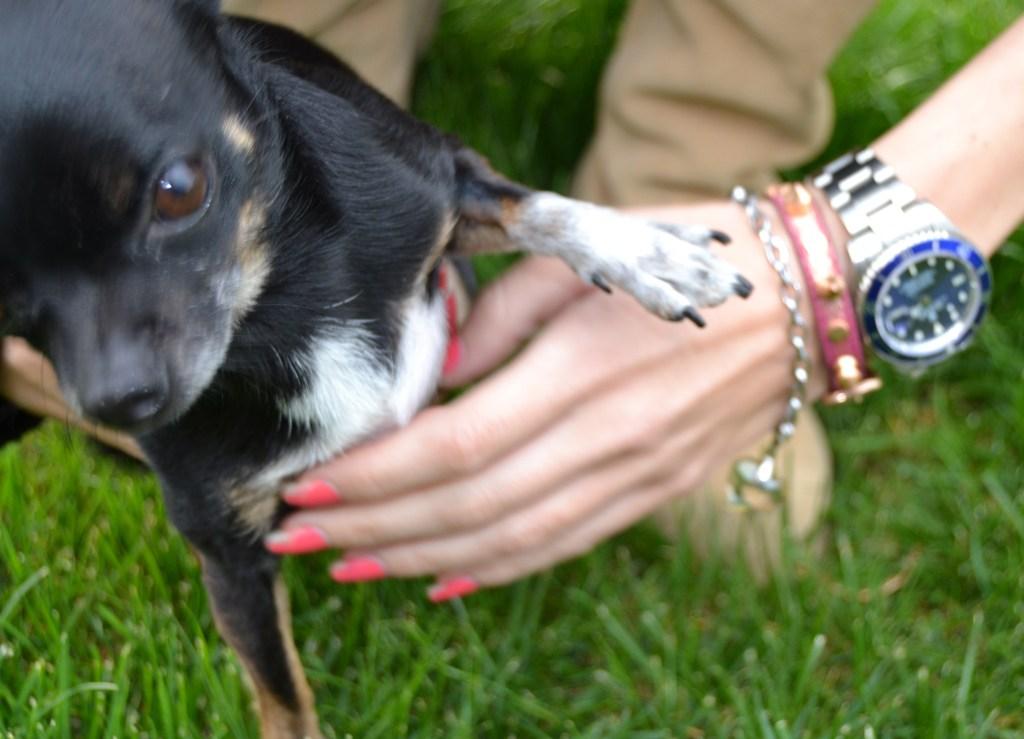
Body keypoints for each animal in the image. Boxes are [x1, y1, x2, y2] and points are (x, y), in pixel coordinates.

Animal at [0, 2, 753, 732]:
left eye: (179, 189)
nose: (118, 399)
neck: (280, 307)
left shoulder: (437, 179)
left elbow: (526, 203)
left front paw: (644, 249)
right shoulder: (230, 552)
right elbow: (283, 697)